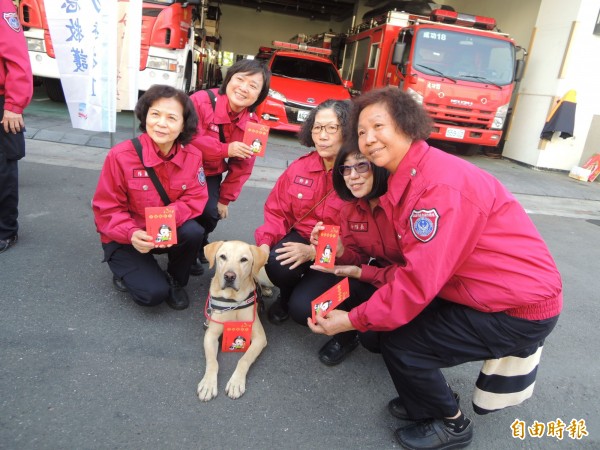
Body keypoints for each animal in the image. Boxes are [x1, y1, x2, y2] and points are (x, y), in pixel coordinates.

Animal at [197, 239, 268, 400]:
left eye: (244, 259)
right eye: (223, 257)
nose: (229, 276)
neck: (232, 300)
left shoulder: (260, 338)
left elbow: (244, 359)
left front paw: (236, 383)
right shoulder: (210, 335)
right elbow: (213, 362)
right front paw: (208, 384)